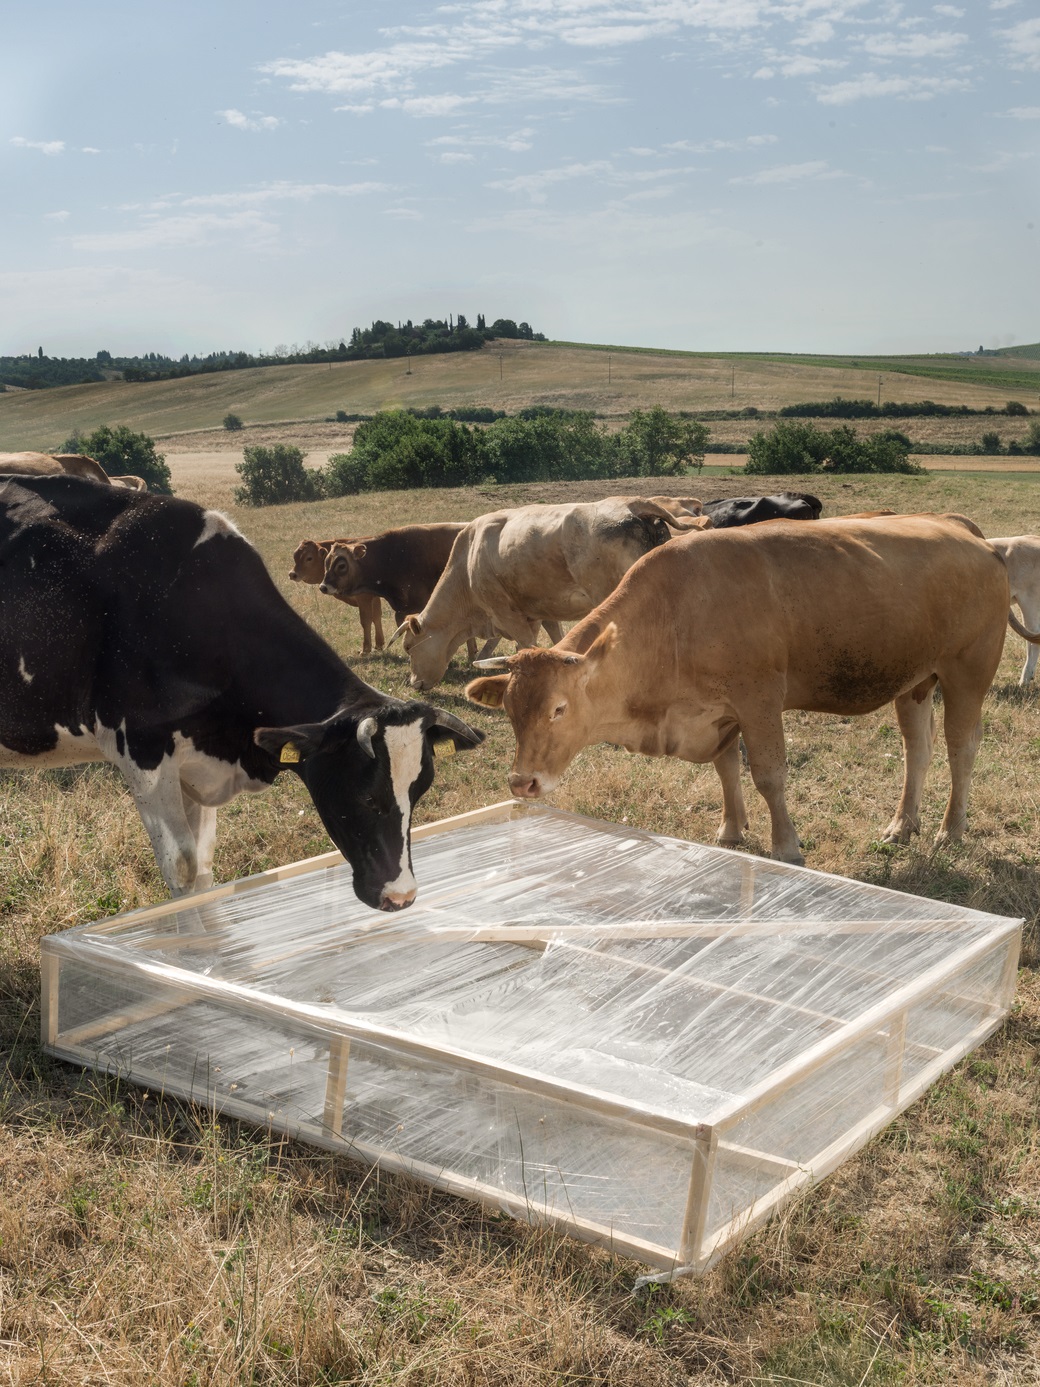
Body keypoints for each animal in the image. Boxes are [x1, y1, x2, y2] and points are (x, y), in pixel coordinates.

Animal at [0, 477, 485, 909]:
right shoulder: (141, 748)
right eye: (368, 796)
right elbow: (183, 871)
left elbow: (204, 871)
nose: (401, 897)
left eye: (419, 791)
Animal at [393, 499, 715, 693]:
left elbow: (524, 646)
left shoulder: (508, 614)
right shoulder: (541, 613)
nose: (414, 684)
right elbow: (555, 640)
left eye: (408, 647)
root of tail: (631, 503)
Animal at [465, 518, 1037, 865]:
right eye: (511, 712)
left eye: (559, 709)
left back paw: (950, 829)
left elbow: (768, 775)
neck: (676, 612)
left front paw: (786, 846)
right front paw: (731, 831)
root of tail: (966, 532)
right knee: (917, 750)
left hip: (966, 674)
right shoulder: (719, 711)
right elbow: (726, 769)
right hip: (915, 682)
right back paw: (902, 824)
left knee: (962, 749)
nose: (522, 782)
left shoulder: (760, 701)